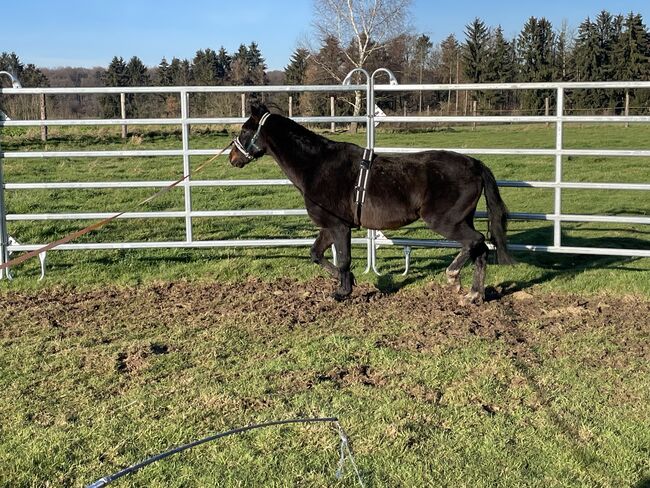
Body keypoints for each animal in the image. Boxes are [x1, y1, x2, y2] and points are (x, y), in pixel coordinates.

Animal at [230, 104, 512, 302]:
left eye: (244, 131)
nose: (232, 157)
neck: (317, 165)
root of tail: (474, 164)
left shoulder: (339, 227)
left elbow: (343, 260)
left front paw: (342, 292)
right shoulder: (329, 227)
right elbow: (316, 254)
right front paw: (346, 282)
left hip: (445, 221)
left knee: (475, 242)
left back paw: (455, 279)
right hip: (462, 219)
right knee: (480, 250)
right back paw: (474, 295)